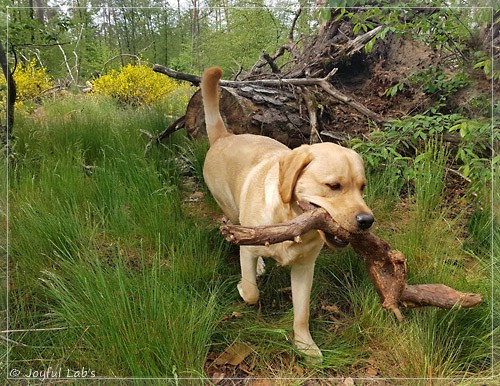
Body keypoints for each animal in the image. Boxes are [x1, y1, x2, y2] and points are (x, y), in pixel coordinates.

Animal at [201, 67, 374, 362]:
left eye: (362, 188)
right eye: (334, 186)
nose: (367, 221)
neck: (288, 221)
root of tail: (224, 137)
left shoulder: (305, 268)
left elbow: (302, 313)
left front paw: (305, 345)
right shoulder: (250, 251)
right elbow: (251, 292)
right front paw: (244, 286)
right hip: (230, 210)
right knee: (241, 236)